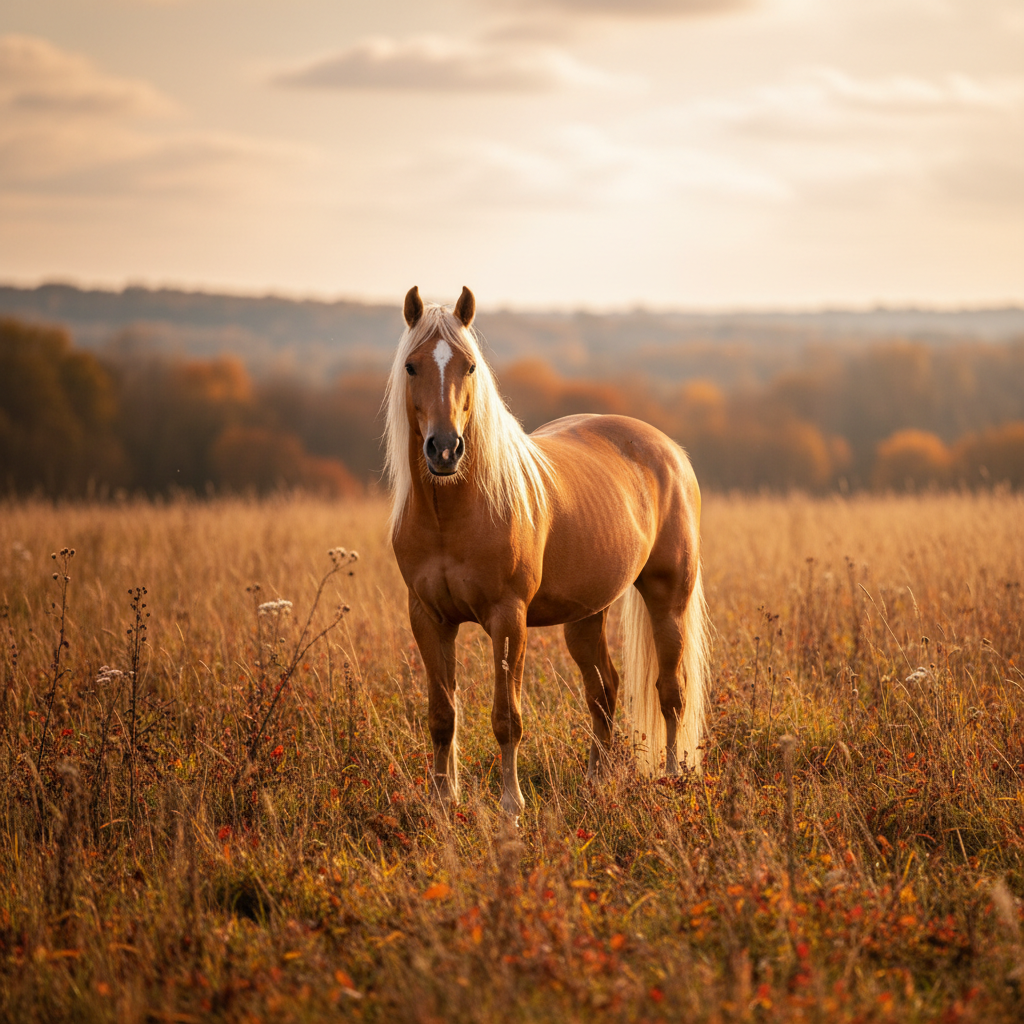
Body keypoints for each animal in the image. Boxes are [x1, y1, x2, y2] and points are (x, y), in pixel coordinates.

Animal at [385, 286, 710, 818]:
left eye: (469, 366)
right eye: (412, 366)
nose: (445, 450)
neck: (451, 514)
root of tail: (670, 451)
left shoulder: (508, 618)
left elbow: (506, 717)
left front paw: (511, 806)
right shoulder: (428, 618)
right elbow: (441, 715)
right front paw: (443, 800)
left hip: (668, 600)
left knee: (671, 692)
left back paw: (671, 777)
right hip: (586, 615)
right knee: (604, 690)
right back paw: (597, 780)